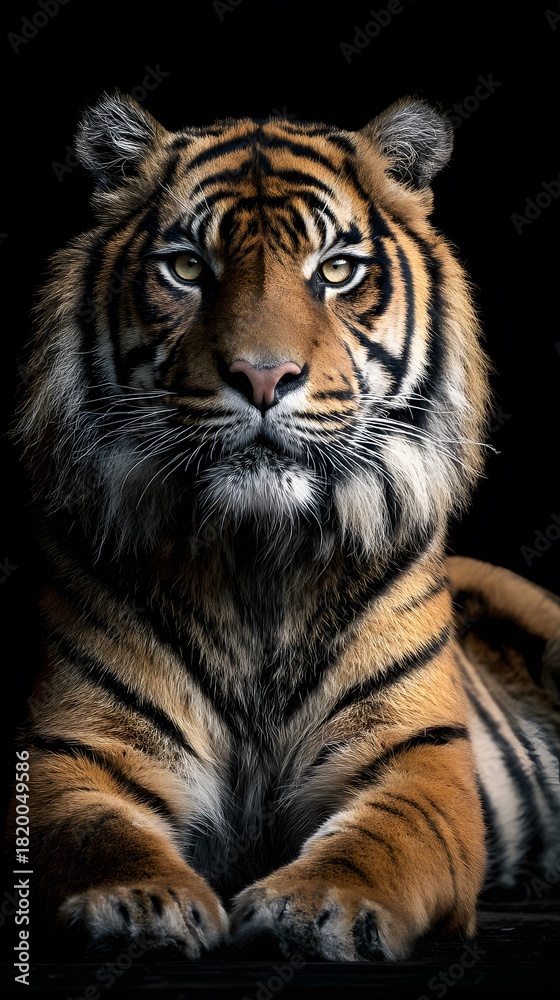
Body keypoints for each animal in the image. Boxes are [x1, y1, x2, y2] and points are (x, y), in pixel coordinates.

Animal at [11, 91, 560, 963]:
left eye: (336, 270)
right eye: (187, 268)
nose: (263, 375)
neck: (256, 557)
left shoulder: (413, 757)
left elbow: (383, 841)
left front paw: (316, 907)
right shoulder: (73, 745)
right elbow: (94, 835)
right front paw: (137, 905)